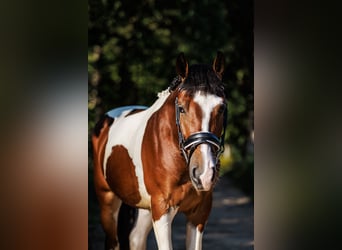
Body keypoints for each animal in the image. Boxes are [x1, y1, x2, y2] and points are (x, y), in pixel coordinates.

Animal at [92, 51, 228, 249]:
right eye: (181, 108)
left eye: (222, 108)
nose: (203, 173)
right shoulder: (162, 211)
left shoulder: (199, 214)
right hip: (108, 203)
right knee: (113, 241)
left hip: (145, 210)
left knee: (136, 239)